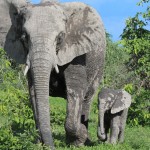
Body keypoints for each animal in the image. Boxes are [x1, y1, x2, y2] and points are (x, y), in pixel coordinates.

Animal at [0, 0, 105, 149]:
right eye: (24, 37)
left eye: (60, 37)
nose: (51, 146)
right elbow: (34, 93)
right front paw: (39, 144)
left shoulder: (77, 53)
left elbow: (75, 91)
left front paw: (79, 139)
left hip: (99, 66)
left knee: (87, 98)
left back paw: (83, 141)